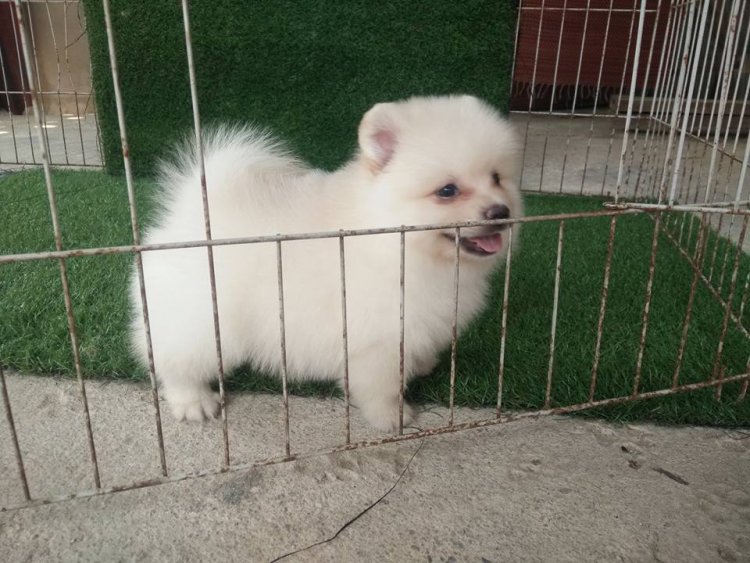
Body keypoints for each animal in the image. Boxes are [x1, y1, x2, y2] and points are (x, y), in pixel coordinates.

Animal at [129, 95, 522, 432]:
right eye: (447, 191)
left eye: (497, 178)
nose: (500, 211)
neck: (394, 242)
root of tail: (194, 212)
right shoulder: (376, 342)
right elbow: (382, 386)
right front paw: (392, 417)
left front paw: (422, 364)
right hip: (203, 320)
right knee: (174, 358)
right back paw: (192, 401)